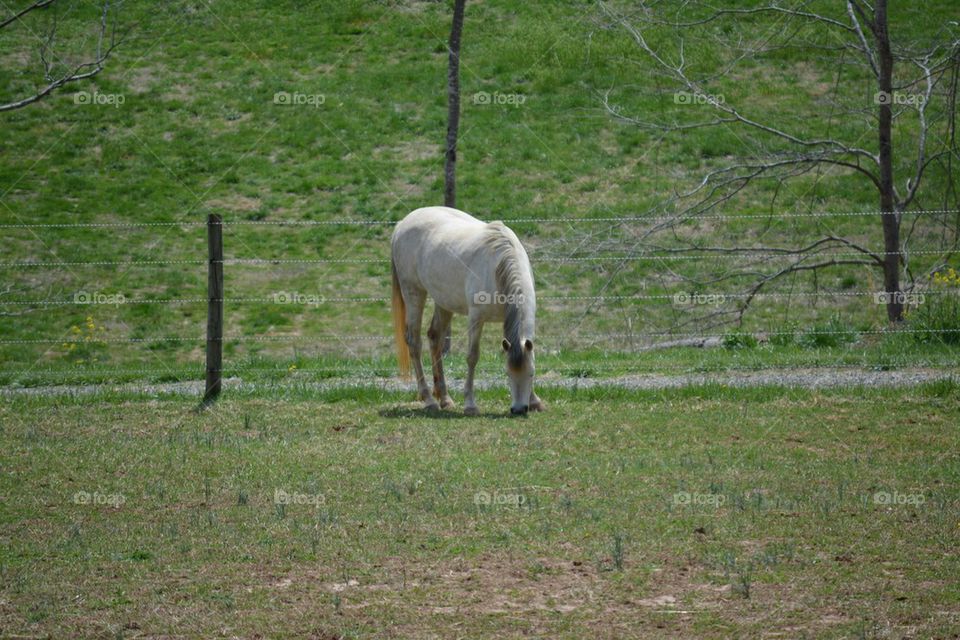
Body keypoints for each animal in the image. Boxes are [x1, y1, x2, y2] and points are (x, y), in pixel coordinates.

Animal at [391, 206, 545, 415]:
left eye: (531, 374)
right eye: (507, 373)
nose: (519, 409)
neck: (499, 266)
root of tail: (401, 225)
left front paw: (535, 400)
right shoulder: (476, 319)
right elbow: (472, 357)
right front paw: (470, 404)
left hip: (443, 301)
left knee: (435, 338)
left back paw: (445, 399)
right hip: (414, 293)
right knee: (414, 342)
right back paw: (429, 400)